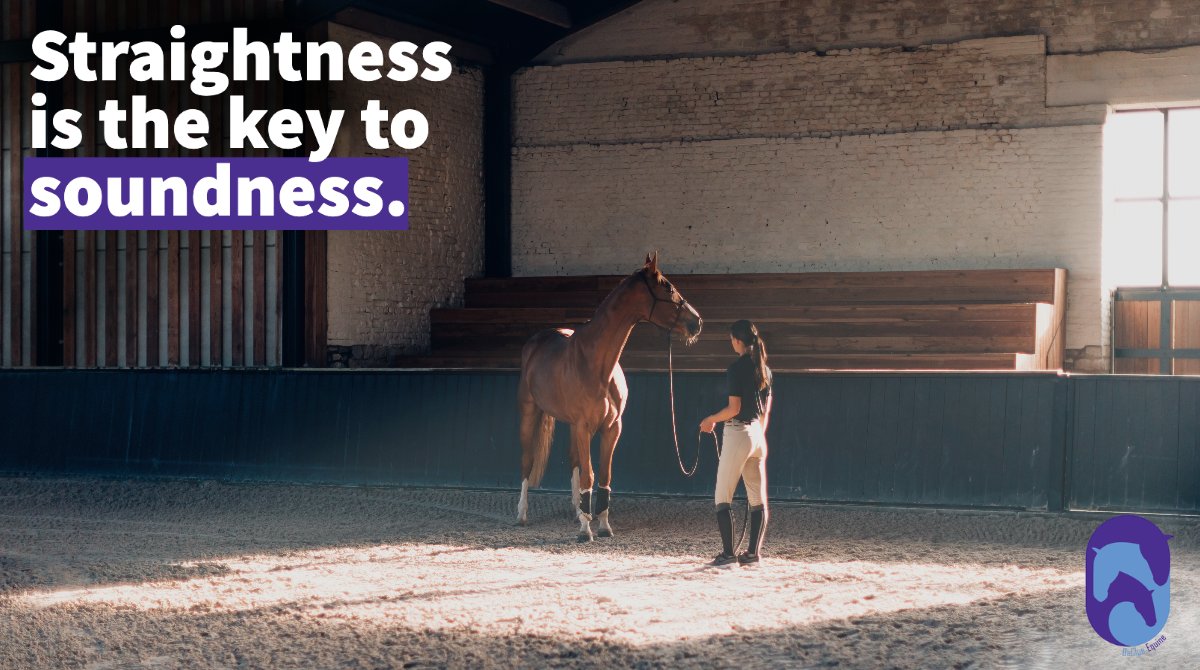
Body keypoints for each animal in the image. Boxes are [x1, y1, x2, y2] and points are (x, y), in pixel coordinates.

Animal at [516, 253, 703, 542]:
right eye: (668, 287)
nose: (697, 322)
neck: (596, 363)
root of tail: (536, 342)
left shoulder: (611, 428)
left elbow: (603, 476)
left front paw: (602, 525)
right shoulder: (584, 427)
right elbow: (590, 476)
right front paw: (585, 532)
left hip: (572, 426)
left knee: (574, 461)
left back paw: (579, 512)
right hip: (530, 412)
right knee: (527, 460)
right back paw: (522, 515)